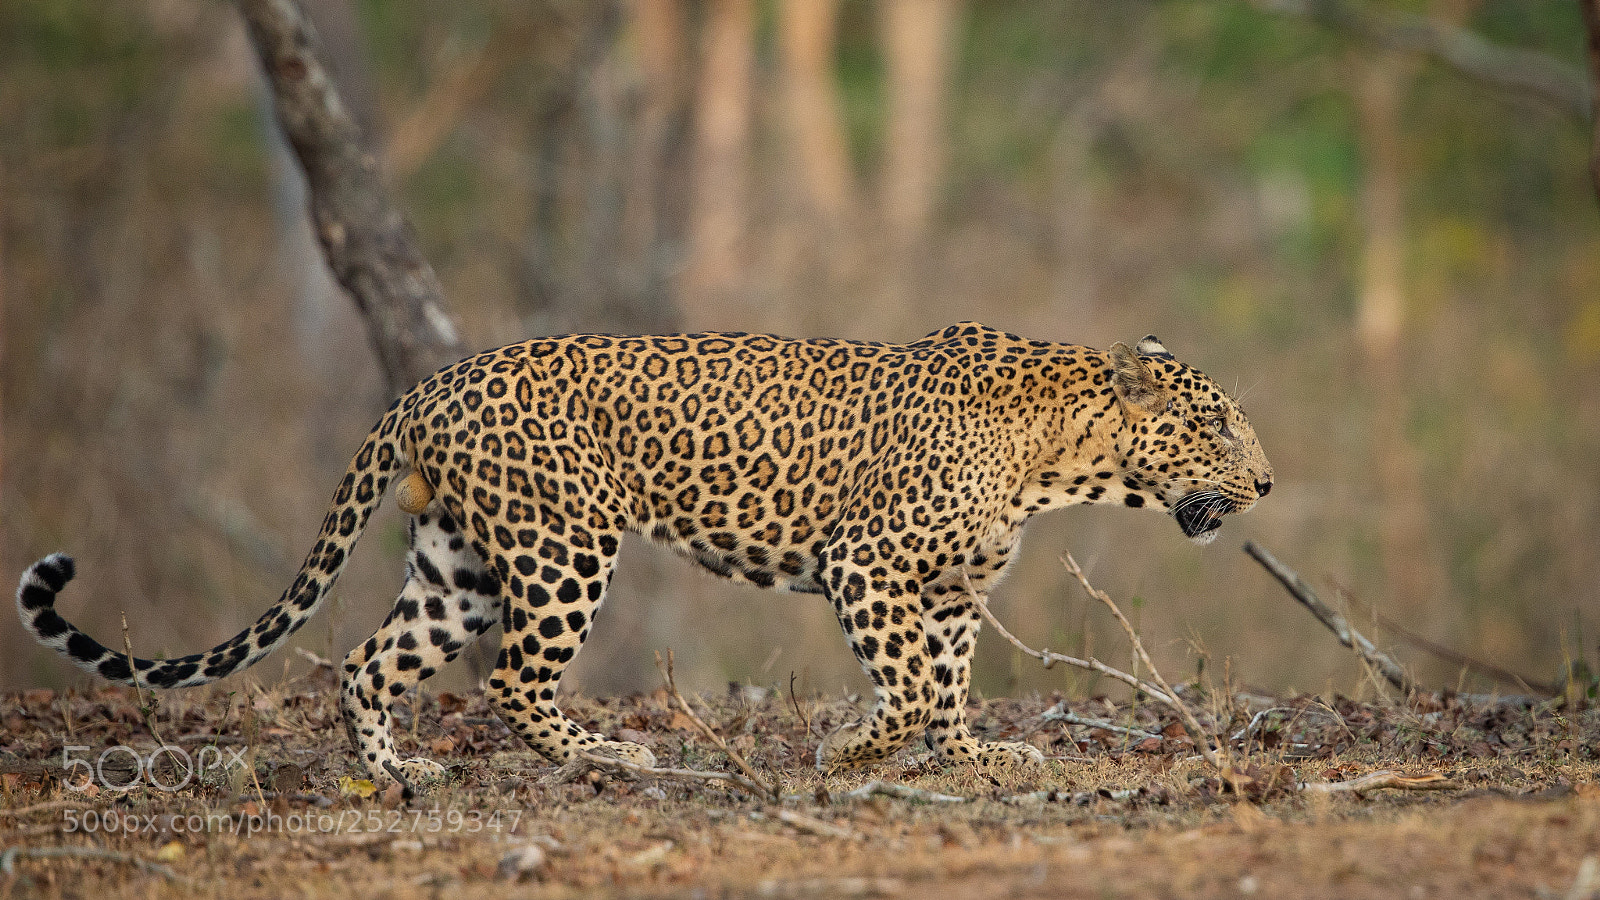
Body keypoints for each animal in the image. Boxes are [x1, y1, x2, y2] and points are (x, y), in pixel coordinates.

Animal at [16, 322, 1272, 784]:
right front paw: (853, 748)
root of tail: (427, 386)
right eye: (1216, 426)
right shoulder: (868, 565)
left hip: (456, 565)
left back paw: (396, 775)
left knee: (369, 667)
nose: (1266, 482)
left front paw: (964, 757)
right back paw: (609, 755)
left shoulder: (952, 589)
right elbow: (913, 683)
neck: (1064, 458)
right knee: (515, 680)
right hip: (564, 546)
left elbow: (947, 684)